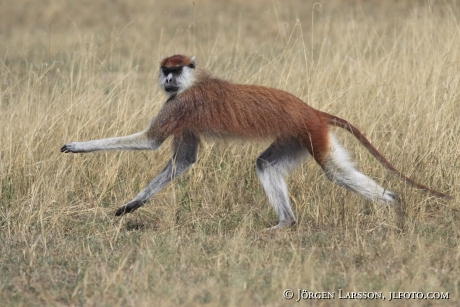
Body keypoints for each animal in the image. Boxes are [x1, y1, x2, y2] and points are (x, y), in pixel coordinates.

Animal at [59, 54, 452, 229]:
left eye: (175, 69)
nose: (167, 79)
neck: (192, 83)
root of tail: (310, 109)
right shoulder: (183, 113)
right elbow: (182, 161)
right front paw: (132, 205)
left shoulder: (179, 105)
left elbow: (149, 141)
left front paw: (76, 147)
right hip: (295, 137)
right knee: (265, 164)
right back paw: (287, 224)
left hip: (312, 133)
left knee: (335, 172)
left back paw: (394, 204)